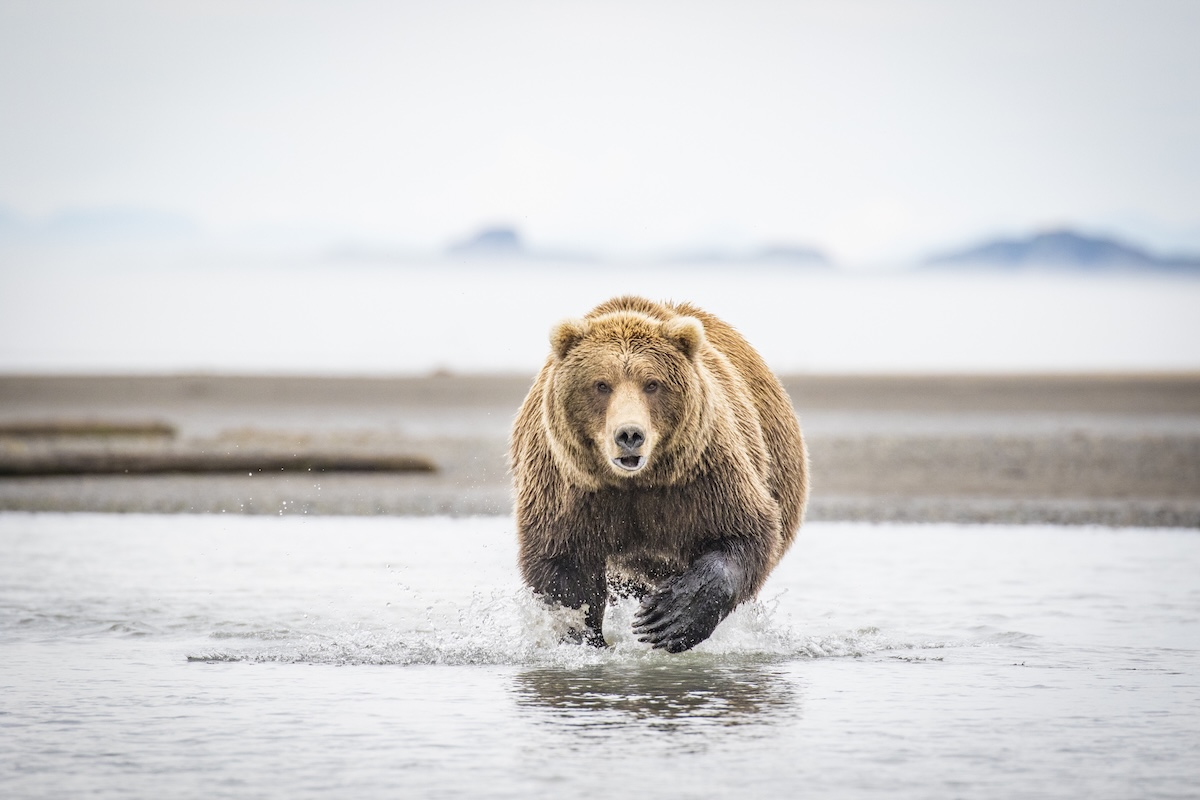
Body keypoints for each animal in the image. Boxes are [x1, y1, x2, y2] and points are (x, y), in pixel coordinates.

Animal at [510, 295, 808, 652]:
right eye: (601, 384)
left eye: (652, 383)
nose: (629, 434)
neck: (635, 482)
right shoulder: (570, 488)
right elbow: (564, 568)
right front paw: (585, 638)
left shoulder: (701, 474)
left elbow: (744, 531)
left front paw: (669, 618)